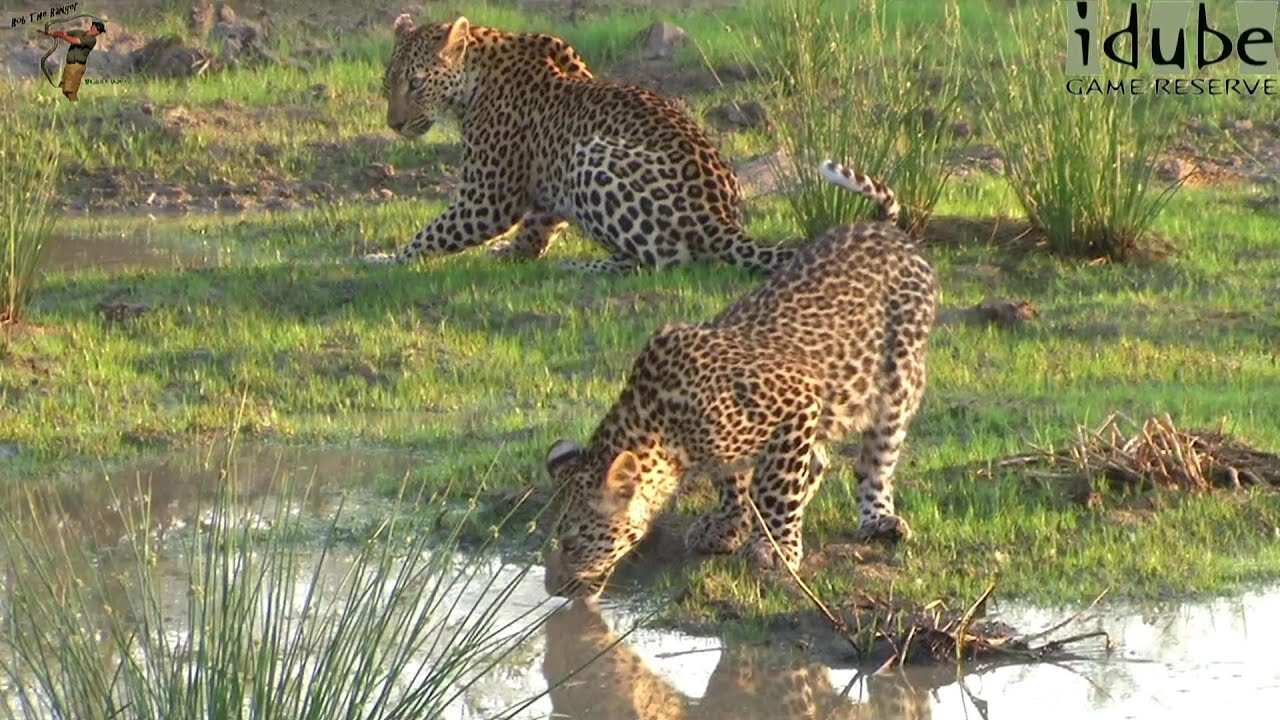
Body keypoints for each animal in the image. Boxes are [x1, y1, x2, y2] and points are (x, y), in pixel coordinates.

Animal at [366, 14, 793, 271]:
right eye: (388, 84)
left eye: (415, 83)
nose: (394, 124)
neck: (475, 74)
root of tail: (721, 218)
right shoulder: (544, 186)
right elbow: (535, 227)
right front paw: (512, 253)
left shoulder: (487, 198)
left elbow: (434, 231)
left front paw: (385, 258)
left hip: (591, 155)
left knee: (663, 260)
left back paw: (579, 267)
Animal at [542, 159, 942, 597]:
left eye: (572, 543)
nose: (552, 588)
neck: (665, 426)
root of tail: (884, 230)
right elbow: (735, 481)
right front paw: (730, 524)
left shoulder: (797, 401)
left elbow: (776, 488)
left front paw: (776, 547)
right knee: (819, 460)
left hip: (899, 383)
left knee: (876, 461)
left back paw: (878, 518)